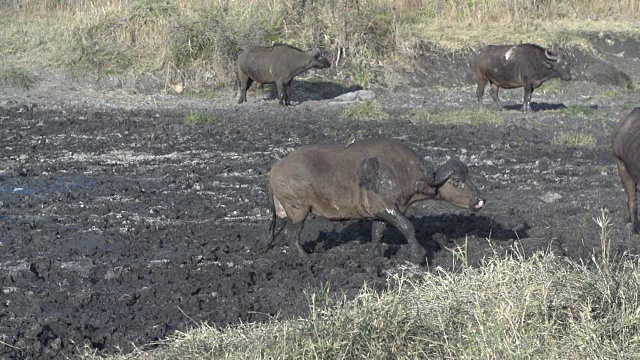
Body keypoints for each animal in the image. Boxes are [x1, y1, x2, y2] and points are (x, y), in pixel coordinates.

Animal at [264, 138, 484, 264]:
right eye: (456, 181)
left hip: (283, 211)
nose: (480, 200)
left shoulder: (380, 213)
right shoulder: (387, 208)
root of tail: (276, 168)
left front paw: (374, 255)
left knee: (276, 230)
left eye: (468, 177)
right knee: (292, 236)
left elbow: (377, 233)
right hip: (298, 210)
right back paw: (305, 259)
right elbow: (407, 227)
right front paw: (418, 254)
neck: (402, 172)